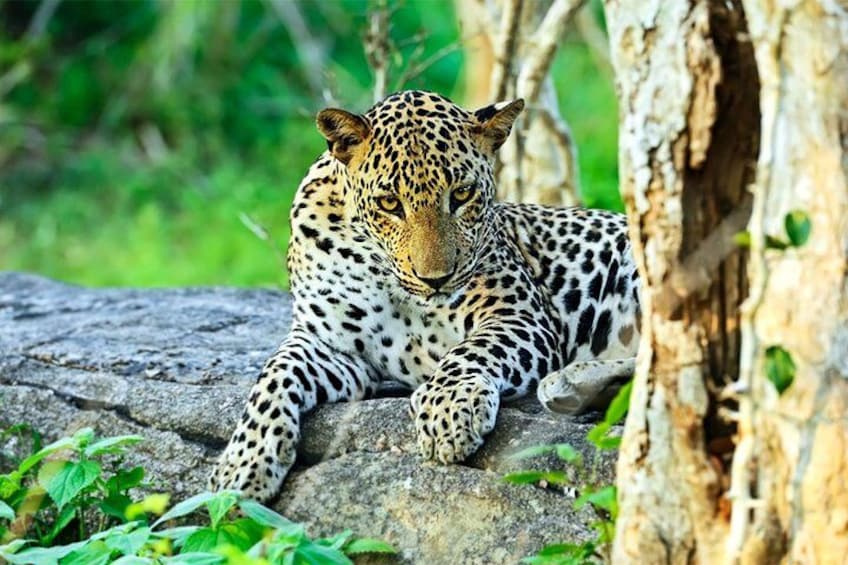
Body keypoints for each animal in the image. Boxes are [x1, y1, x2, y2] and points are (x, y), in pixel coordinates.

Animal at [209, 90, 641, 502]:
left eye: (462, 194)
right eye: (389, 203)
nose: (436, 279)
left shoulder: (520, 315)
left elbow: (472, 349)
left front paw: (448, 409)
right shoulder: (329, 344)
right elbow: (274, 375)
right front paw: (241, 465)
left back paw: (568, 384)